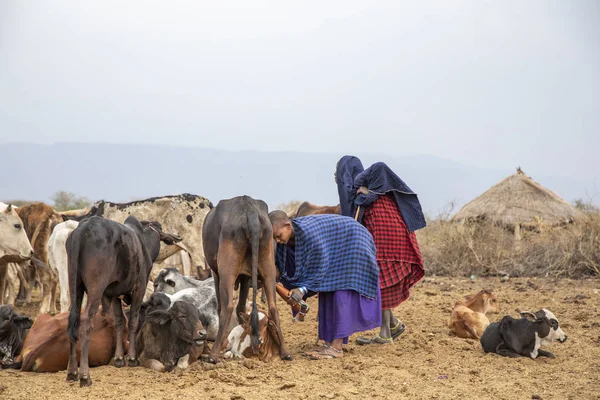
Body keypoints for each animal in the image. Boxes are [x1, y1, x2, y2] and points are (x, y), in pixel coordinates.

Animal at [66, 217, 182, 386]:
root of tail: (82, 230)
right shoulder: (139, 288)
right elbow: (133, 321)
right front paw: (132, 358)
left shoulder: (115, 295)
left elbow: (120, 322)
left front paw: (119, 358)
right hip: (96, 289)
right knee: (86, 321)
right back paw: (85, 376)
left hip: (75, 287)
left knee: (72, 323)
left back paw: (72, 372)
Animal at [202, 195, 290, 364]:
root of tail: (250, 210)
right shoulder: (245, 277)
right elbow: (241, 308)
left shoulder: (217, 274)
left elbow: (223, 307)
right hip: (269, 269)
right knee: (273, 307)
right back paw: (285, 352)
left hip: (227, 273)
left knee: (227, 307)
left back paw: (213, 355)